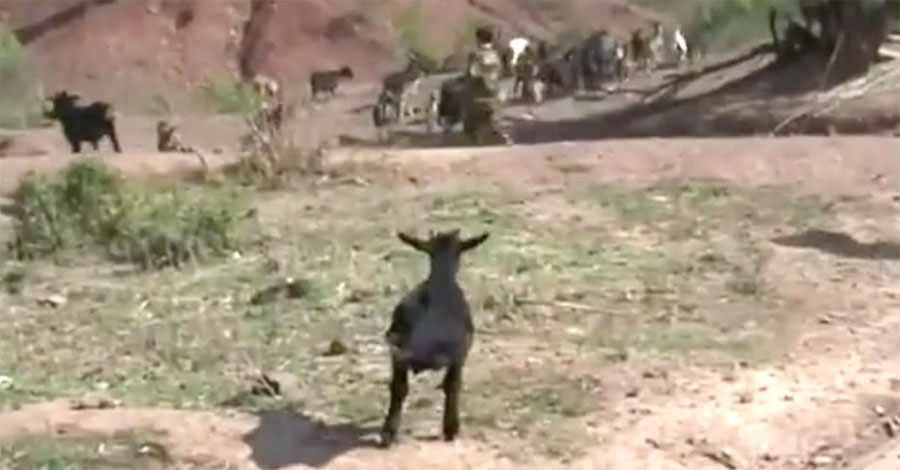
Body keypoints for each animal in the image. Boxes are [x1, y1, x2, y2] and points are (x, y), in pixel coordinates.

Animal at [382, 230, 492, 448]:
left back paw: (388, 433)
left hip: (397, 352)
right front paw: (451, 429)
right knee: (448, 385)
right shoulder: (461, 354)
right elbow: (453, 385)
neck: (441, 279)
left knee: (399, 387)